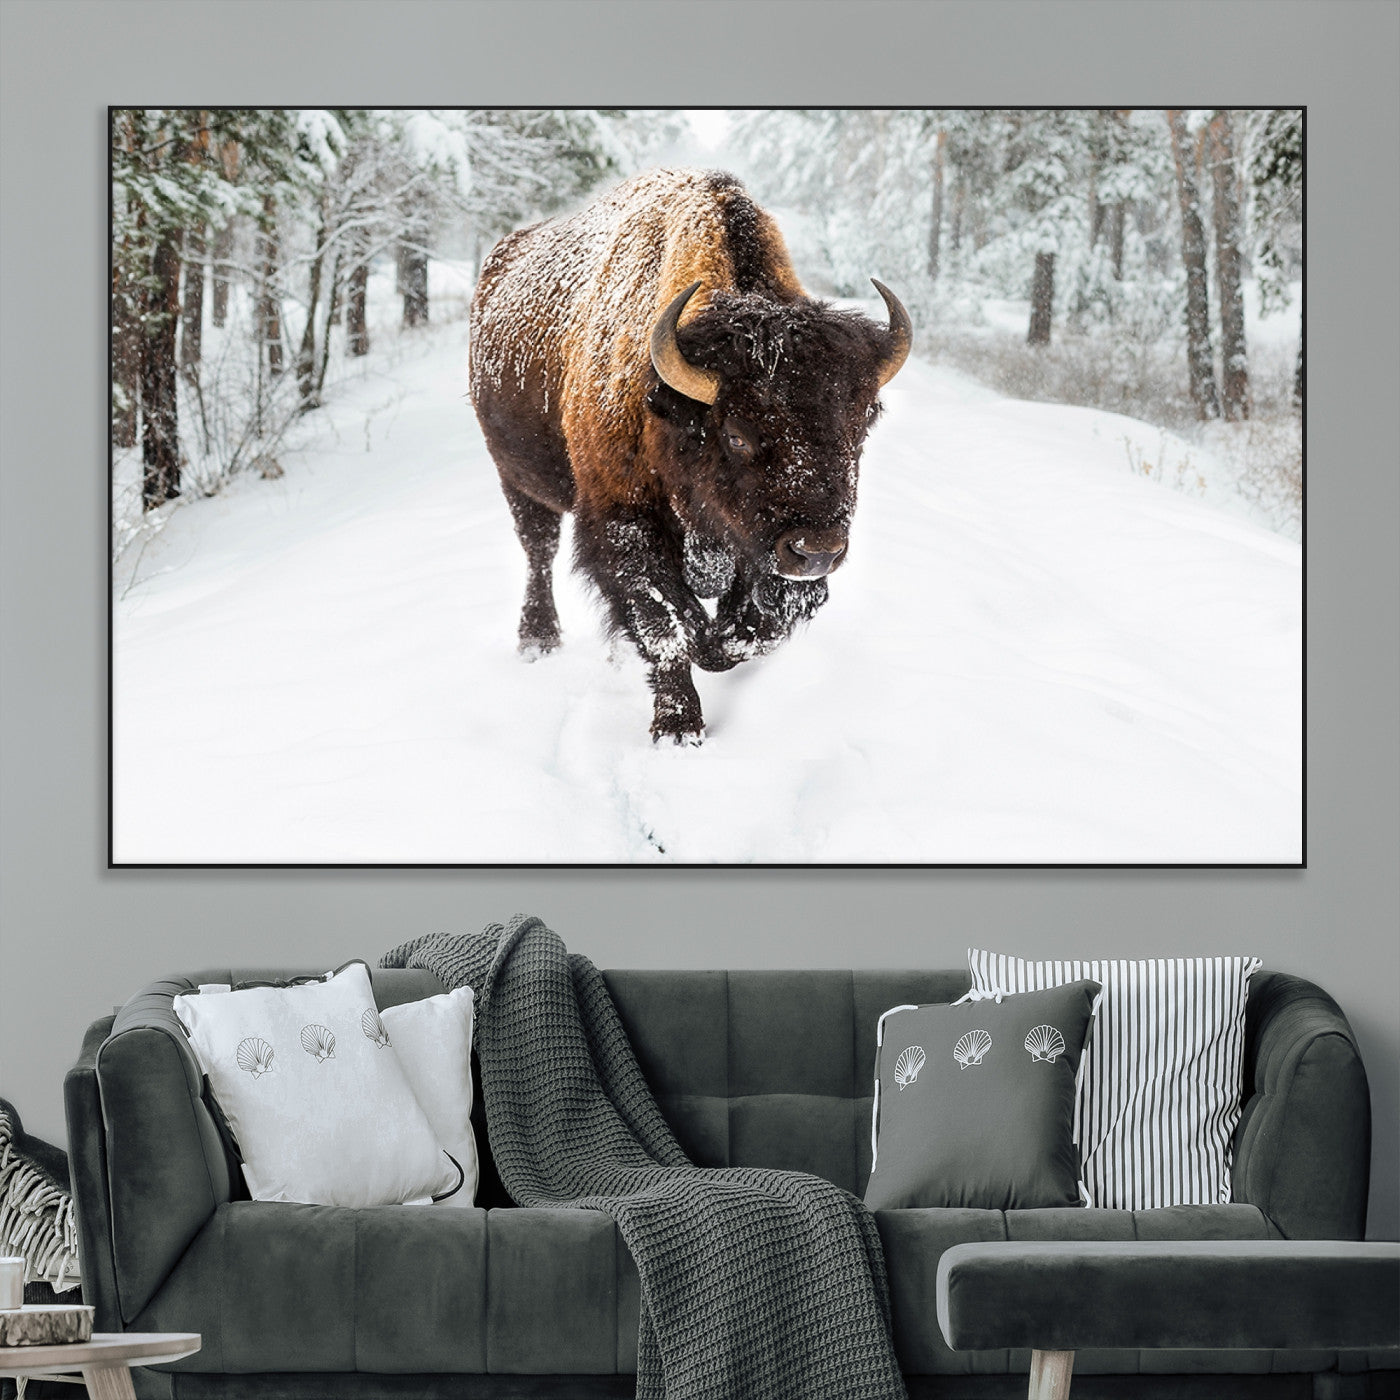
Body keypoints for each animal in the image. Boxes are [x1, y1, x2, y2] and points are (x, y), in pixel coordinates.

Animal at [469, 168, 910, 743]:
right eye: (738, 435)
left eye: (862, 425)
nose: (817, 551)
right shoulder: (623, 522)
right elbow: (667, 625)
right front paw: (678, 728)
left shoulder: (758, 550)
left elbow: (753, 628)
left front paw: (716, 648)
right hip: (516, 478)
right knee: (538, 550)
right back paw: (537, 639)